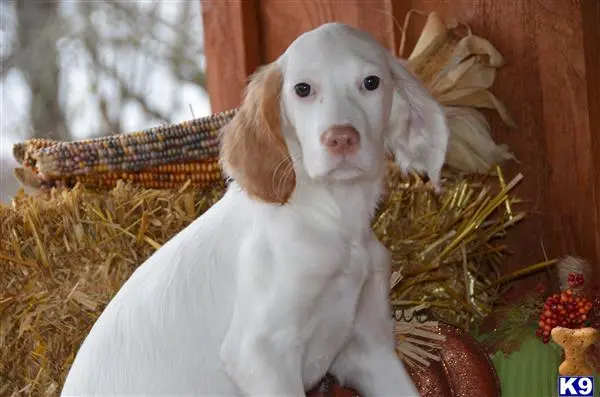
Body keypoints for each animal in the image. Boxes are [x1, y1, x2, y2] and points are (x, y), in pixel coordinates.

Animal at [62, 22, 446, 396]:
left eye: (371, 82)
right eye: (302, 89)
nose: (341, 139)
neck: (333, 217)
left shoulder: (368, 350)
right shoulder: (261, 354)